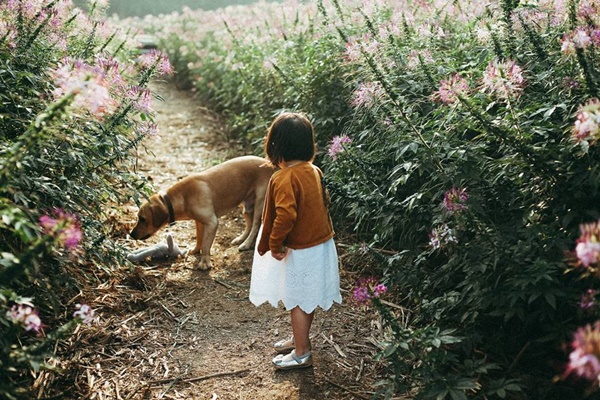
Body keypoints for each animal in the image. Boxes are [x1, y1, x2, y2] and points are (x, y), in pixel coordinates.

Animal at [131, 155, 274, 270]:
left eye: (142, 219)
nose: (131, 234)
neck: (183, 196)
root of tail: (271, 165)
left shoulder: (212, 222)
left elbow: (206, 245)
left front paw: (204, 262)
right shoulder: (199, 222)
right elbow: (199, 239)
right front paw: (195, 250)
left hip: (260, 203)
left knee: (255, 226)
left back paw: (247, 243)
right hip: (246, 206)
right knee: (249, 224)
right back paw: (241, 239)